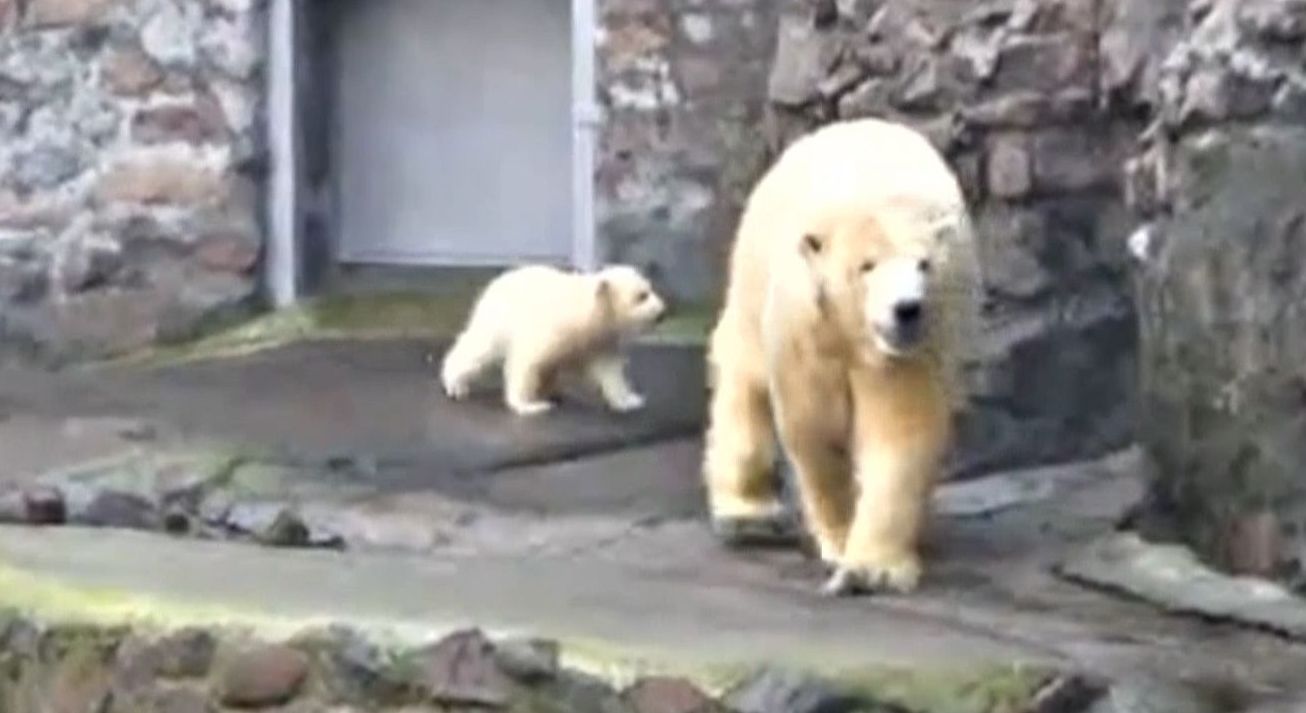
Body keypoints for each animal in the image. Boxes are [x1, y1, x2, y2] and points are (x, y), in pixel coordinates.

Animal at [441, 263, 668, 412]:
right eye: (641, 296)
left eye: (650, 288)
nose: (662, 312)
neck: (585, 313)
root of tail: (496, 282)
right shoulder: (551, 328)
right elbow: (526, 362)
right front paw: (530, 405)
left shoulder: (600, 340)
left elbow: (610, 370)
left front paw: (631, 400)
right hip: (497, 318)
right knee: (479, 347)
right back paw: (455, 385)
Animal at [705, 116, 982, 592]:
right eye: (867, 266)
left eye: (924, 264)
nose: (907, 308)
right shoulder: (807, 324)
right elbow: (815, 427)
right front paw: (839, 540)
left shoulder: (918, 343)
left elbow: (902, 428)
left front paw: (873, 569)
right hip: (752, 271)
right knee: (745, 378)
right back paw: (747, 515)